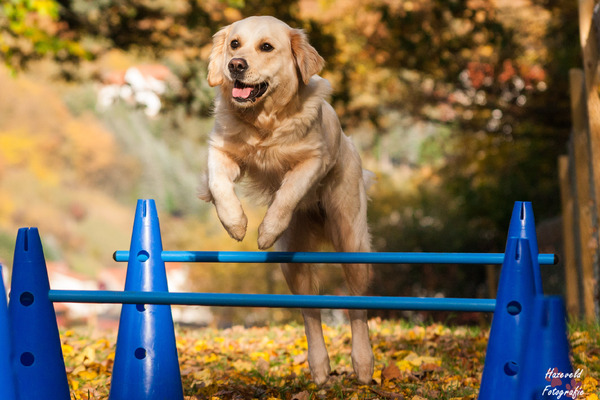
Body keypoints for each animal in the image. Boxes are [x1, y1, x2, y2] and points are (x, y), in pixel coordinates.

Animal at [199, 17, 372, 386]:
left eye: (266, 47)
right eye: (234, 44)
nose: (236, 66)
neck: (264, 120)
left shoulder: (313, 160)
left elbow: (290, 189)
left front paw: (266, 230)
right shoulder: (221, 152)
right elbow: (219, 185)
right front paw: (235, 223)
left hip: (351, 242)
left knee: (357, 307)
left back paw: (363, 364)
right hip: (292, 261)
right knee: (310, 311)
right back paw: (319, 367)